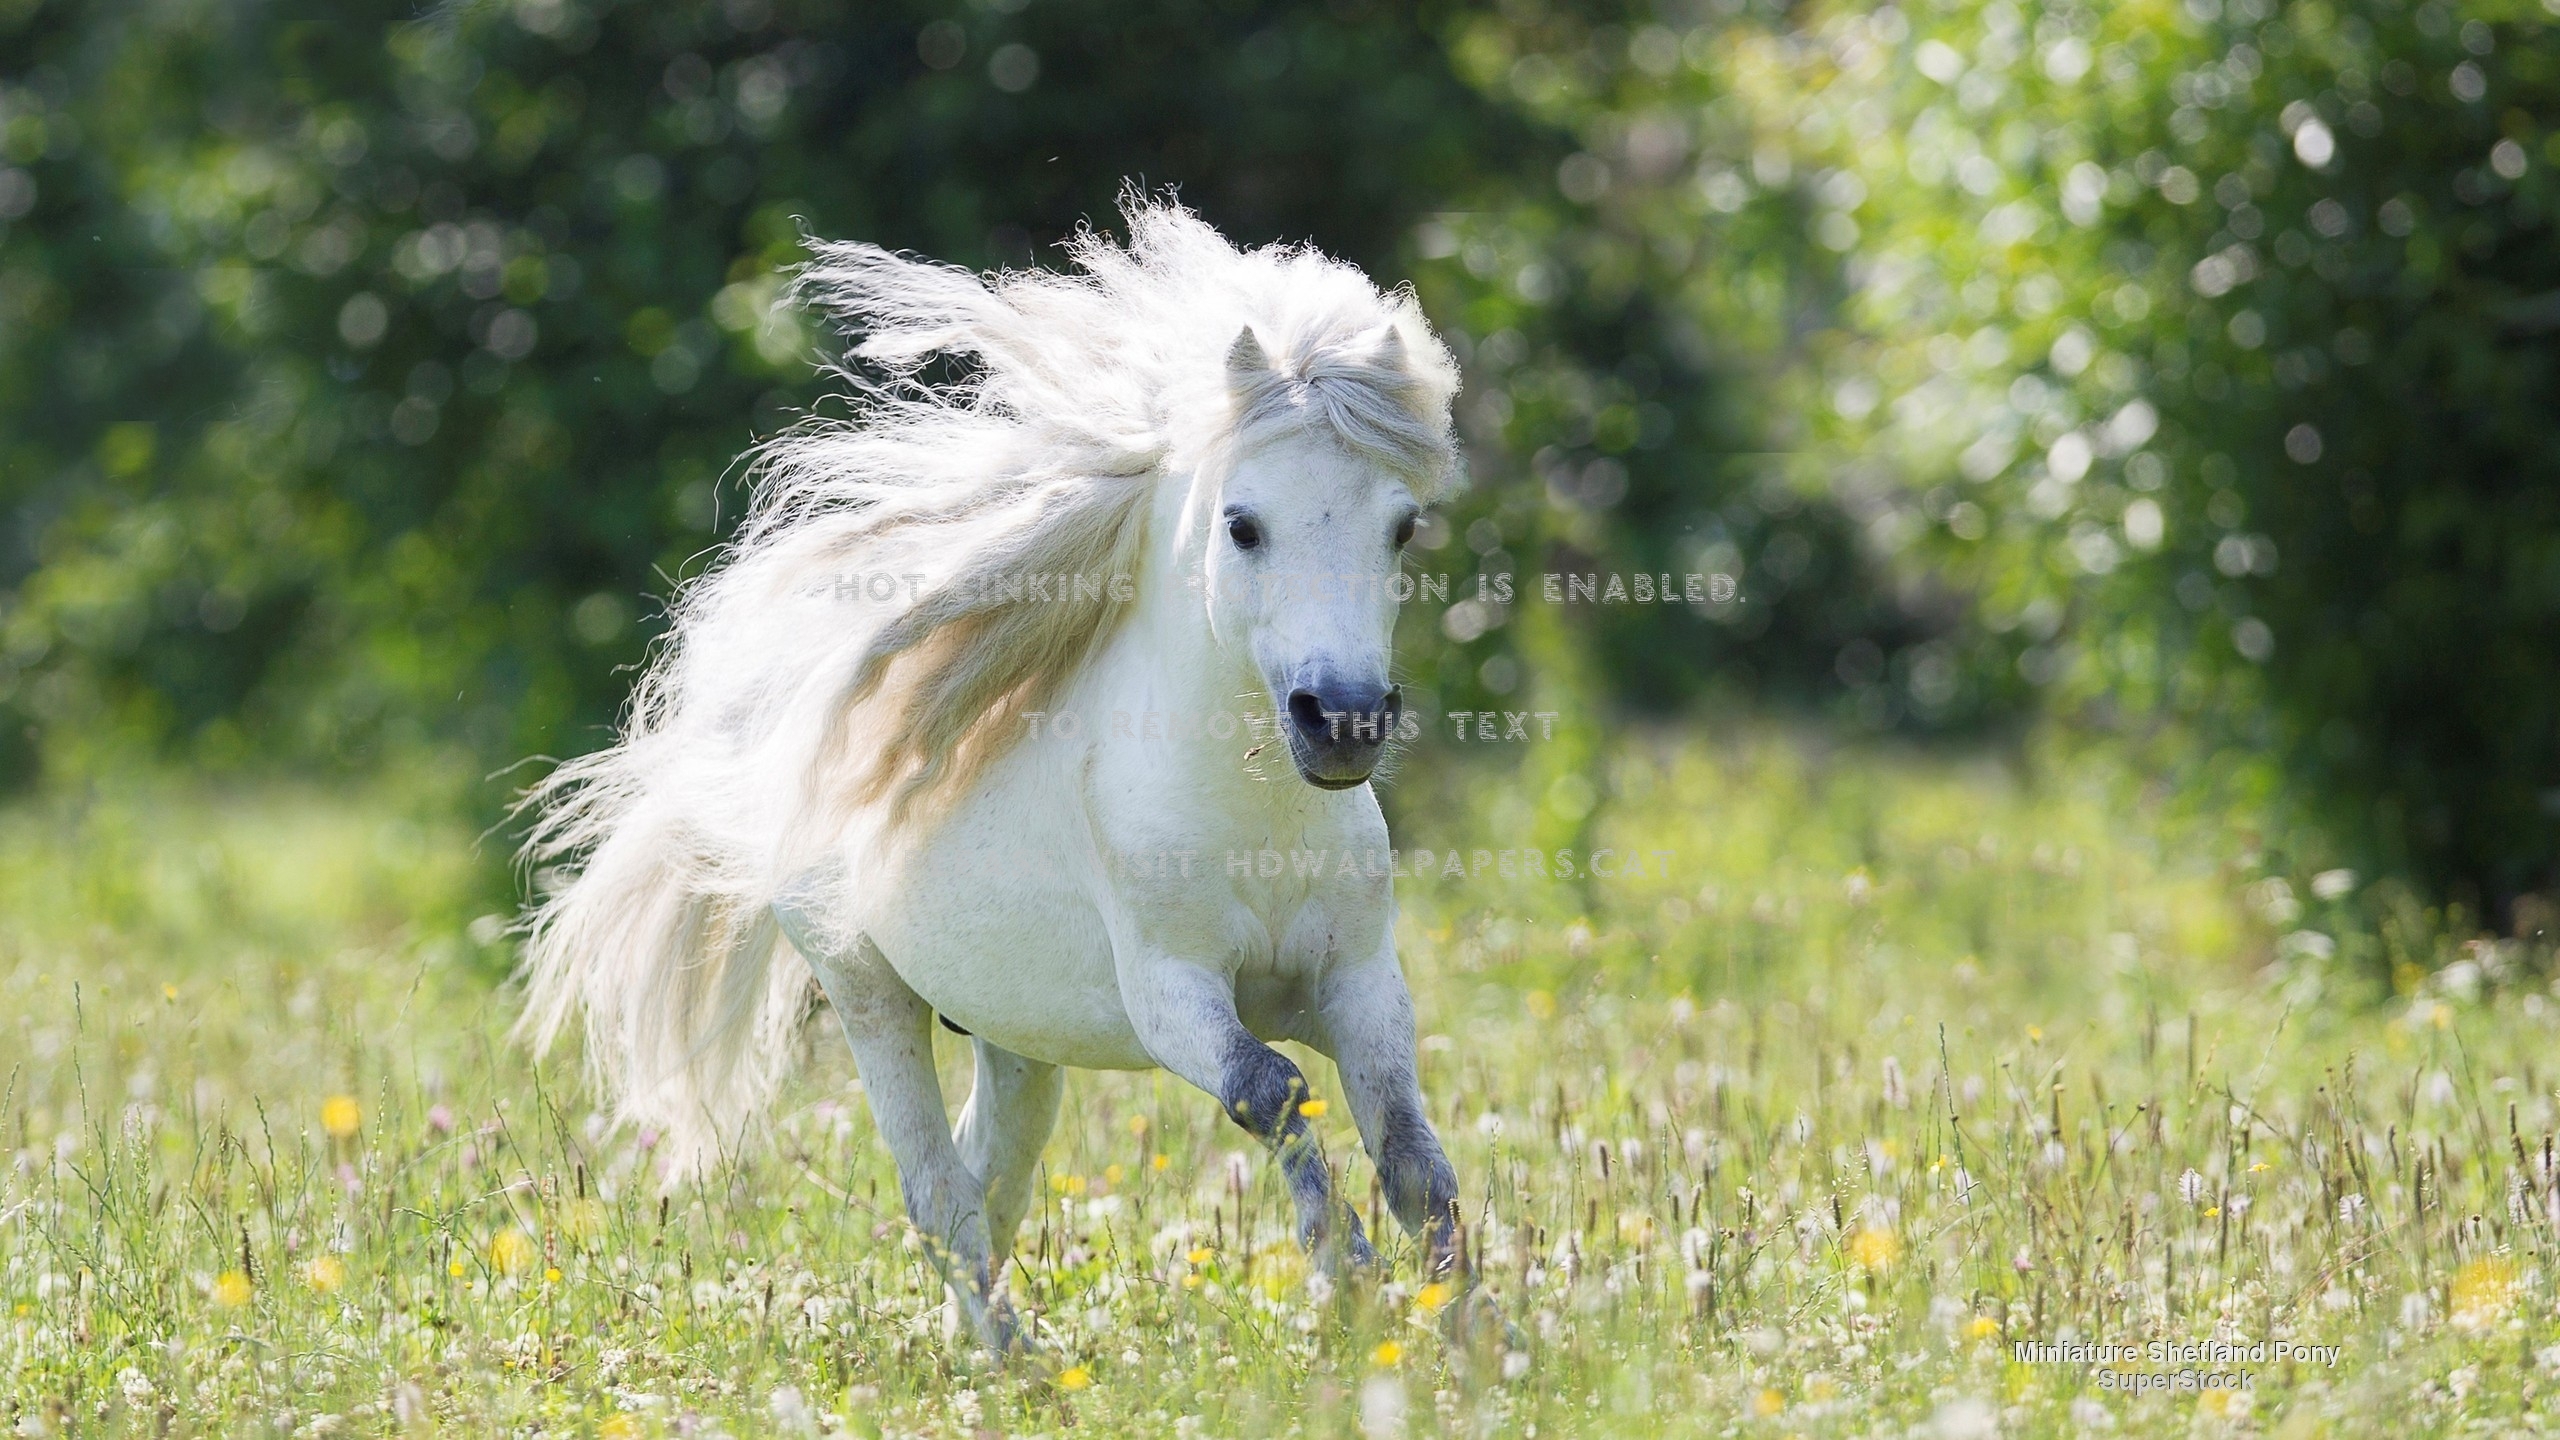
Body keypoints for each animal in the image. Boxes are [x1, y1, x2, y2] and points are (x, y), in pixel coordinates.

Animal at [516, 195, 1468, 1350]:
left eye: (1402, 525)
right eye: (1243, 524)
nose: (1342, 722)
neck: (1257, 820)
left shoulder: (1361, 984)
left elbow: (1414, 1157)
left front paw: (1468, 1328)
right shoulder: (1171, 992)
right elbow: (1271, 1091)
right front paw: (1350, 1283)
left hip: (1016, 1039)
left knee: (989, 1176)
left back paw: (975, 1342)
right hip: (869, 996)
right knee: (937, 1191)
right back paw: (1012, 1357)